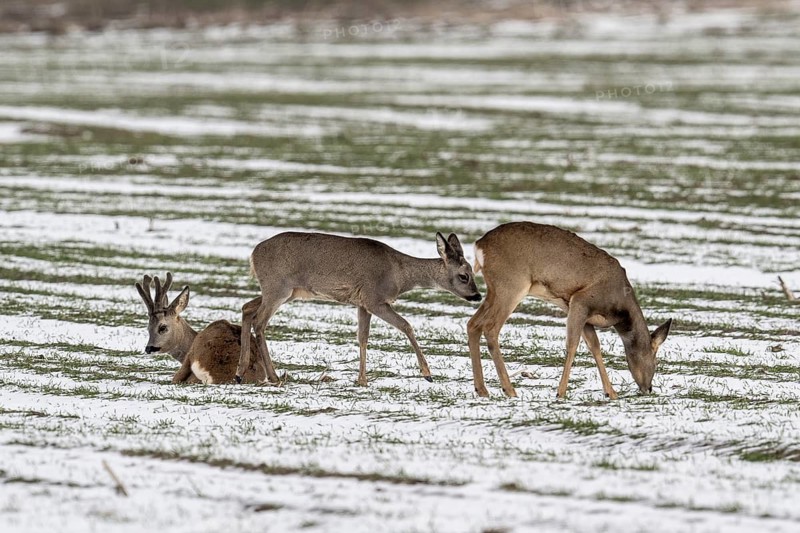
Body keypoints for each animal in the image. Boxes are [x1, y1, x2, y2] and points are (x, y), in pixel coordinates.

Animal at [234, 232, 482, 386]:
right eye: (464, 275)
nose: (477, 296)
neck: (400, 275)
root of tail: (253, 254)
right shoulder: (374, 299)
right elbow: (406, 325)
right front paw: (427, 374)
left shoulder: (363, 304)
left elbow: (363, 337)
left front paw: (362, 380)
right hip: (278, 287)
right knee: (259, 321)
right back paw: (273, 376)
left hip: (286, 291)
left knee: (247, 308)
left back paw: (240, 373)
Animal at [467, 222, 672, 399]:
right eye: (656, 361)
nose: (648, 388)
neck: (619, 308)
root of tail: (479, 245)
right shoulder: (581, 300)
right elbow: (572, 345)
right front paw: (561, 392)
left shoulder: (583, 314)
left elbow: (594, 346)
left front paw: (611, 392)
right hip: (511, 285)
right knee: (490, 328)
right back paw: (509, 389)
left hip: (494, 290)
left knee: (473, 324)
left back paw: (482, 389)